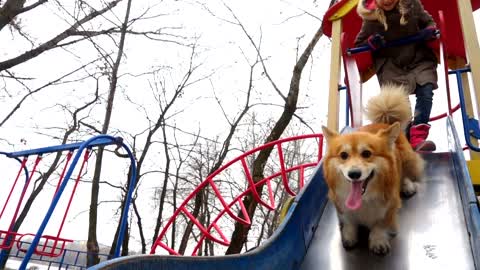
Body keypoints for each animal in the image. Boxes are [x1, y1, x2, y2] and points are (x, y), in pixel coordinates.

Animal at [322, 84, 424, 255]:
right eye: (343, 155)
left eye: (367, 154)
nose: (354, 174)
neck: (364, 199)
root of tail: (385, 122)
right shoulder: (341, 207)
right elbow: (349, 222)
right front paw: (349, 237)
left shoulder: (390, 207)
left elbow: (380, 225)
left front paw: (378, 241)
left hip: (408, 161)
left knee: (407, 175)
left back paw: (407, 186)